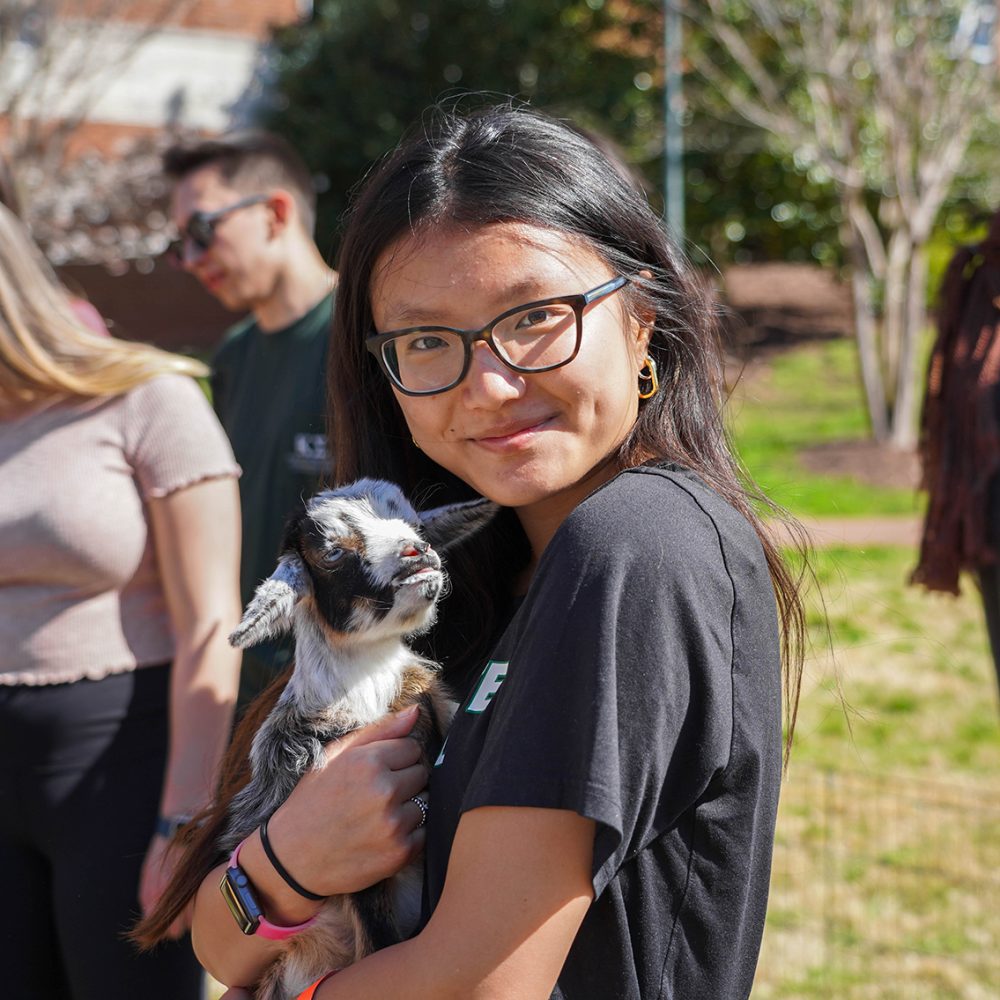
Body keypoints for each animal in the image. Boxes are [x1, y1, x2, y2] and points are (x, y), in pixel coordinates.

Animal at [223, 480, 496, 996]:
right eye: (332, 552)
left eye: (415, 523)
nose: (416, 551)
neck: (368, 692)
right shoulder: (360, 873)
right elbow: (377, 940)